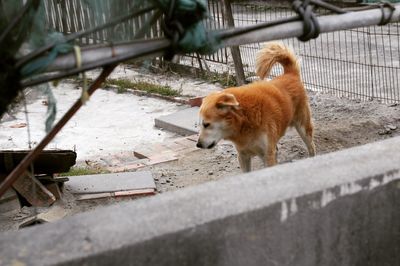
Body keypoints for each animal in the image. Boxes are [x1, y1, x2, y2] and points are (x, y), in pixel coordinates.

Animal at [197, 41, 316, 172]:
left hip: (303, 128)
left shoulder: (267, 155)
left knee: (311, 147)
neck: (244, 119)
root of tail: (290, 74)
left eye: (206, 124)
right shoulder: (242, 155)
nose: (198, 145)